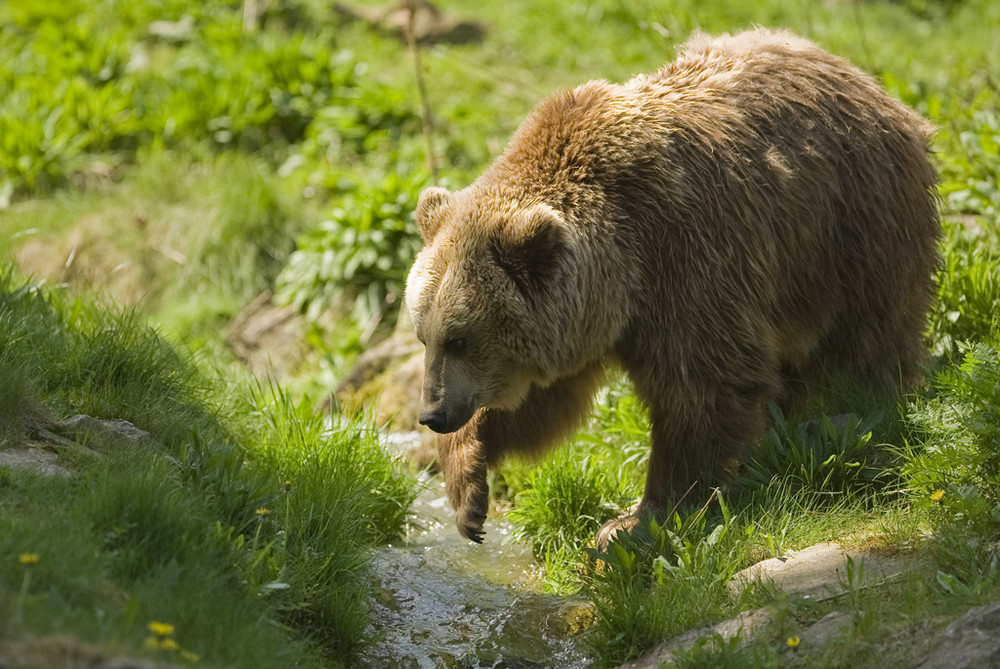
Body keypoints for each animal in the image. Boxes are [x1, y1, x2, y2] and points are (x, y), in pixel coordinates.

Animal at [402, 30, 940, 544]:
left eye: (460, 338)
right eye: (425, 335)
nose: (432, 413)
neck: (622, 265)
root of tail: (872, 85)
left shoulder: (686, 257)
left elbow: (704, 387)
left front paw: (640, 518)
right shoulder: (581, 319)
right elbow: (542, 401)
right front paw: (468, 489)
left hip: (851, 232)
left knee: (861, 345)